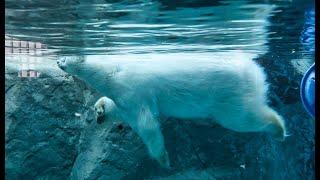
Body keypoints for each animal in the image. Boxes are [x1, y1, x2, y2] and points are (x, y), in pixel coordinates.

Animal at [56, 52, 286, 168]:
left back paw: (279, 128)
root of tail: (253, 71)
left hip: (227, 95)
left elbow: (148, 125)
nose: (58, 60)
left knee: (241, 119)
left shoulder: (130, 89)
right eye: (94, 111)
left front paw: (163, 160)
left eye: (65, 57)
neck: (113, 70)